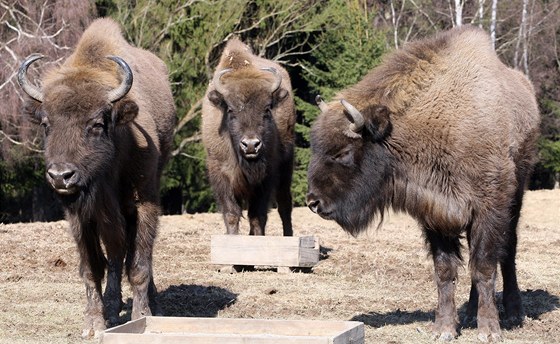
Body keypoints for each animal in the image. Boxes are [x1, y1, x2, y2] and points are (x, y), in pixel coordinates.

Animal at [17, 17, 175, 338]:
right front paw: (93, 324)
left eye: (97, 124)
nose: (61, 176)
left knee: (134, 255)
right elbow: (93, 267)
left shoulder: (145, 204)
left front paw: (142, 315)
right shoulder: (81, 216)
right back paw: (113, 307)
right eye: (46, 124)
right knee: (115, 255)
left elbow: (139, 264)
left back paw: (149, 303)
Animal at [201, 37, 298, 236]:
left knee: (285, 204)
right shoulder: (220, 174)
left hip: (287, 165)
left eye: (267, 109)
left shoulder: (266, 177)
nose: (251, 145)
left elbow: (257, 216)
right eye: (230, 110)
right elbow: (231, 214)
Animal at [304, 26, 540, 342]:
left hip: (517, 195)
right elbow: (445, 270)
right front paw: (444, 329)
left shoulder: (488, 210)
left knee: (509, 250)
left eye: (342, 152)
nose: (313, 202)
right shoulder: (436, 214)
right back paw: (470, 312)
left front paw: (489, 330)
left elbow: (485, 266)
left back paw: (514, 312)